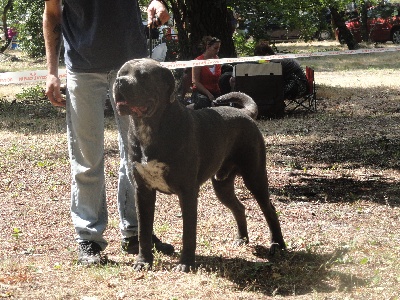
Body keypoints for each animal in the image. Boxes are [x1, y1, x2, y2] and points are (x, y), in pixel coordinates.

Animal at [114, 58, 286, 272]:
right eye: (121, 73)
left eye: (143, 76)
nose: (119, 82)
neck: (148, 127)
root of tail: (245, 113)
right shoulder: (143, 191)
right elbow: (144, 231)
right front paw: (143, 262)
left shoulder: (187, 191)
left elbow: (188, 232)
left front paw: (185, 264)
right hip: (222, 184)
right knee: (239, 207)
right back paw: (242, 238)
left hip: (254, 176)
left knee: (269, 209)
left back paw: (277, 245)